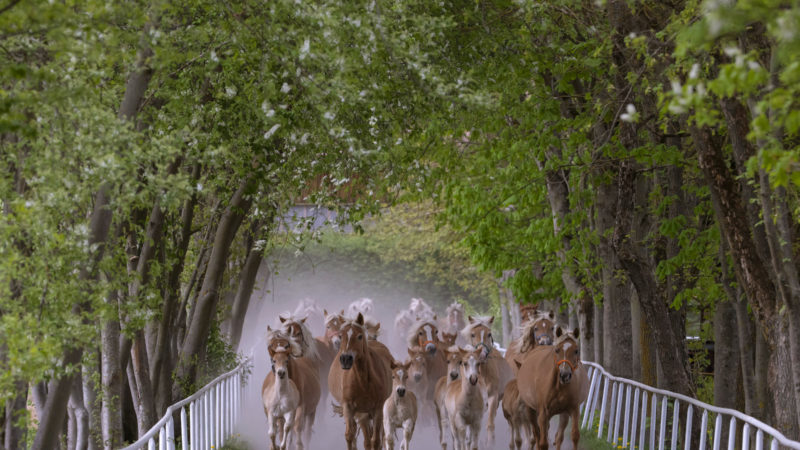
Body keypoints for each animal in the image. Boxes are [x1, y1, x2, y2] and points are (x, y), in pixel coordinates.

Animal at [328, 312, 394, 450]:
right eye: (341, 336)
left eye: (359, 336)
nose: (345, 359)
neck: (363, 382)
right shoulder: (351, 408)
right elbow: (350, 435)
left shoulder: (378, 409)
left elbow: (375, 441)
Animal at [460, 316, 516, 446]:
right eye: (472, 334)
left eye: (489, 334)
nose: (482, 354)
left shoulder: (493, 397)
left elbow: (490, 422)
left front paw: (490, 442)